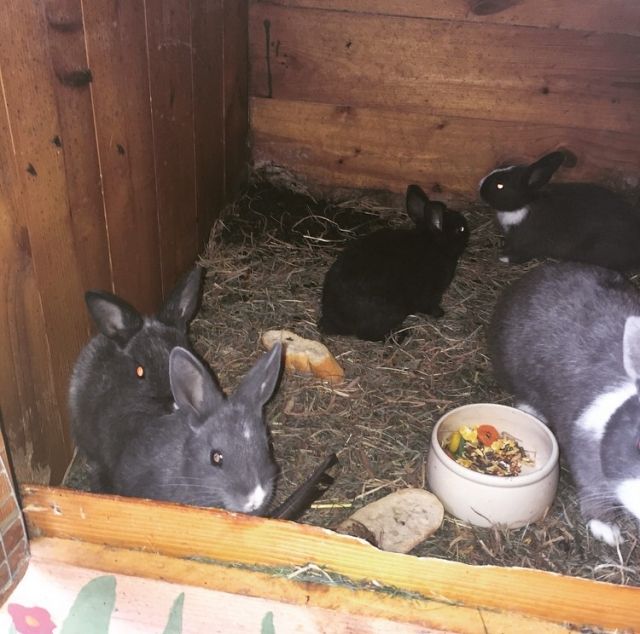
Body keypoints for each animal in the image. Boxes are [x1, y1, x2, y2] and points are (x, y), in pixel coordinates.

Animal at [318, 184, 469, 341]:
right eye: (461, 229)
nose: (468, 232)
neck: (434, 244)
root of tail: (334, 321)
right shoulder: (432, 294)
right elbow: (429, 305)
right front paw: (440, 313)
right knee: (368, 335)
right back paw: (400, 336)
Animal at [479, 150, 640, 271]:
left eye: (500, 186)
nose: (479, 188)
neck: (524, 204)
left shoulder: (528, 244)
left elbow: (522, 255)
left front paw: (504, 258)